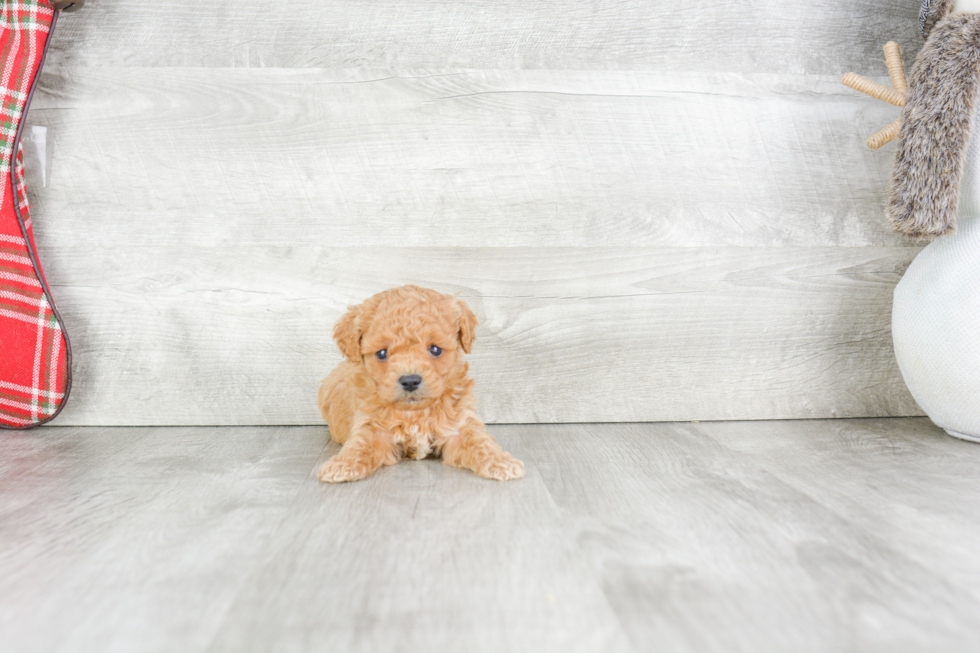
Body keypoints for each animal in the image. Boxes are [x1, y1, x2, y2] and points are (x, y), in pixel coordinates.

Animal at [318, 286, 524, 484]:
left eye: (435, 349)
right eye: (382, 353)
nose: (410, 380)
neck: (415, 412)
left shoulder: (459, 426)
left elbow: (479, 442)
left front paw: (501, 462)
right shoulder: (372, 427)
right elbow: (359, 446)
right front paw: (341, 465)